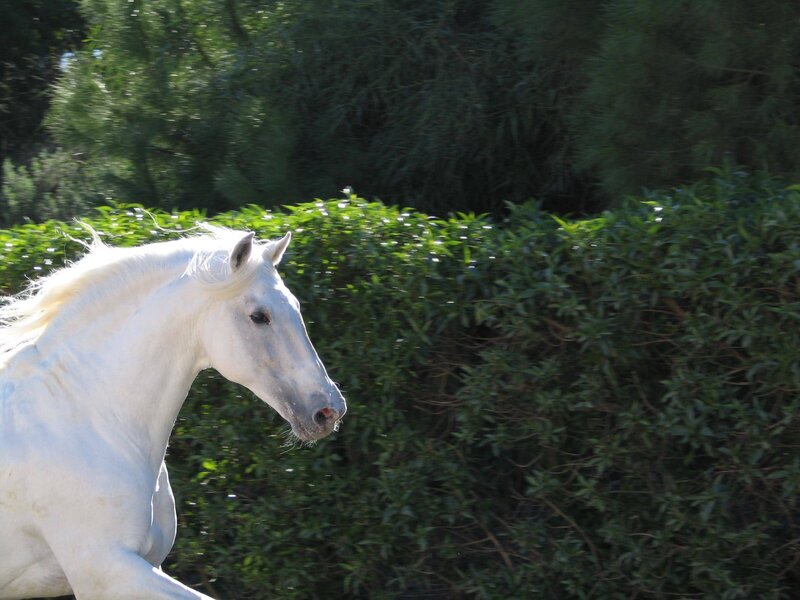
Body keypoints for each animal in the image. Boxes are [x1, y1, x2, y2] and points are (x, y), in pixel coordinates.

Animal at [0, 226, 346, 599]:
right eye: (259, 316)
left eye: (295, 306)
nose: (329, 410)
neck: (85, 415)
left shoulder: (145, 565)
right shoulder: (106, 572)